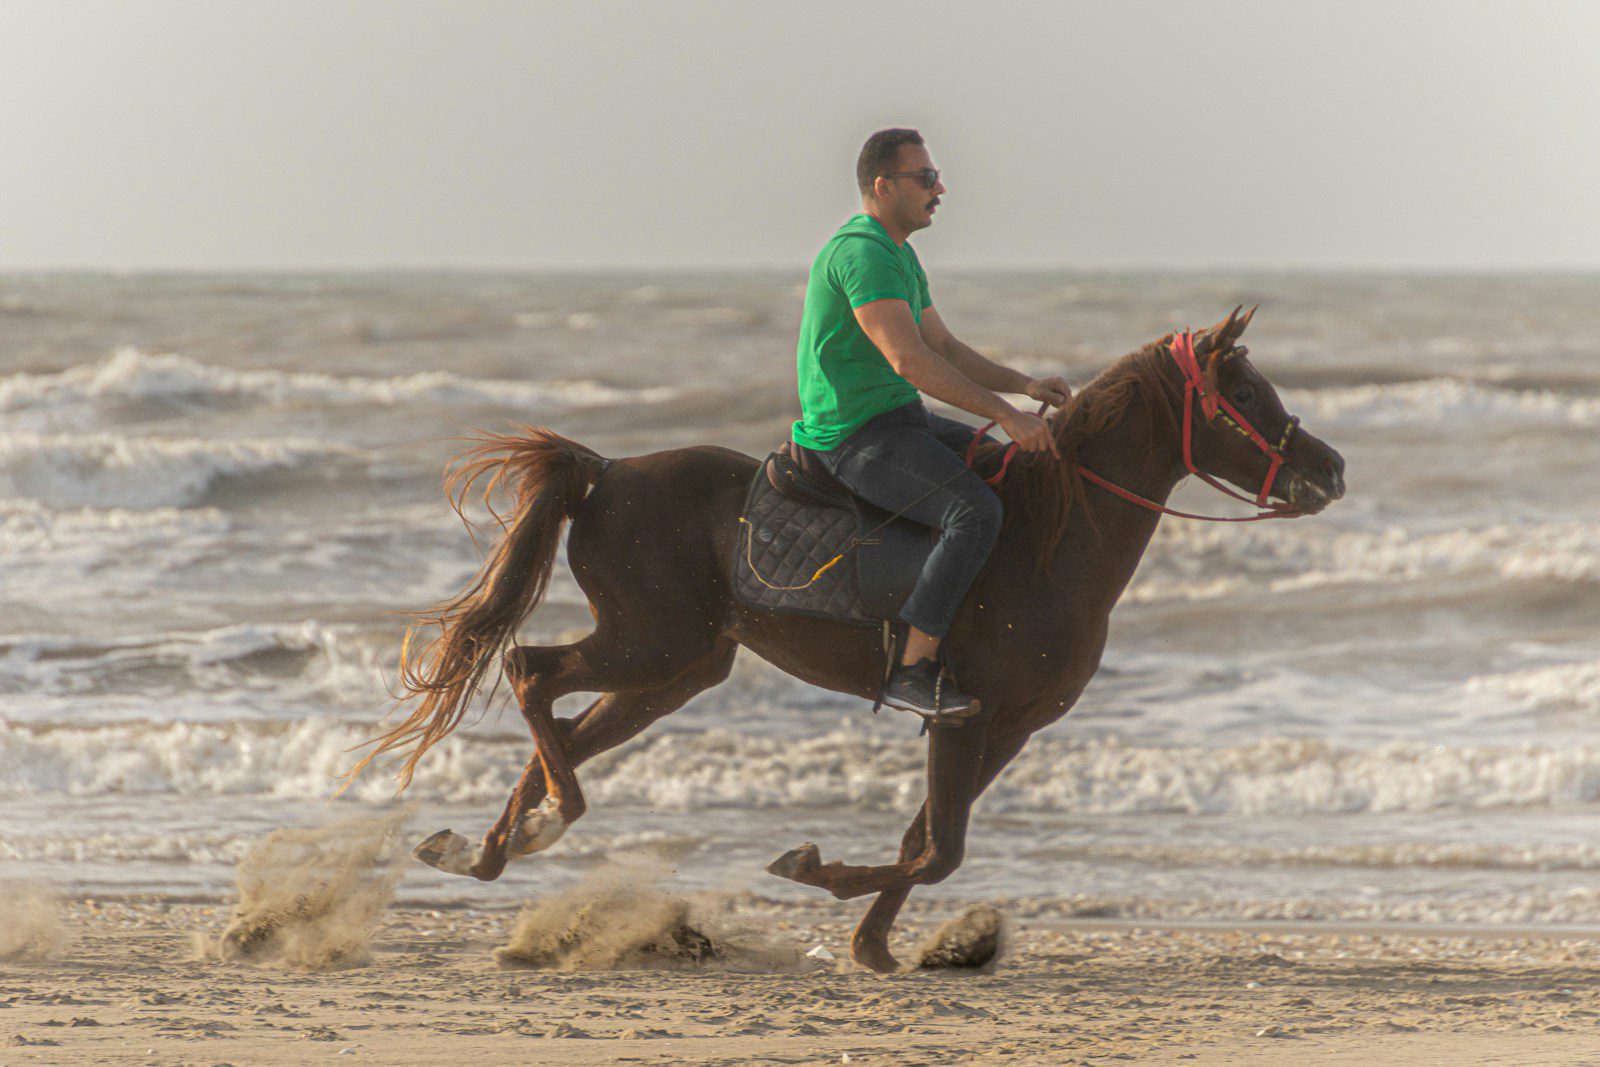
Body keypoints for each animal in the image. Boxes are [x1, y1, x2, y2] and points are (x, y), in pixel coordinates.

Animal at [352, 306, 1346, 973]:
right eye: (1243, 391)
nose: (1331, 468)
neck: (1050, 532)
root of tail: (605, 472)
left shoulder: (1007, 724)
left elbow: (926, 839)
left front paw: (870, 941)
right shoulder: (960, 712)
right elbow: (939, 847)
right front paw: (818, 873)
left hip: (677, 668)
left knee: (561, 717)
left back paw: (495, 847)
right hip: (648, 644)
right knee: (532, 672)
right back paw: (546, 823)